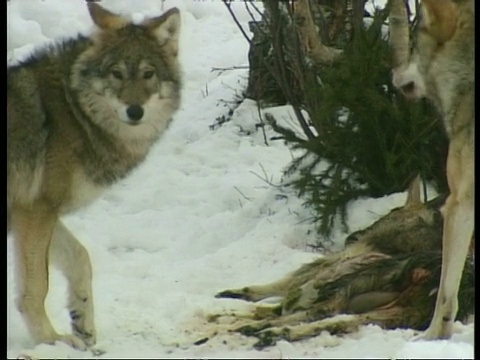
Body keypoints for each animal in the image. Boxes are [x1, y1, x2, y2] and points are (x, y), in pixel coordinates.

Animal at [7, 2, 184, 350]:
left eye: (148, 74)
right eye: (116, 74)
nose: (134, 111)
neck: (74, 111)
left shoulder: (34, 214)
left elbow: (81, 259)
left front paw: (82, 322)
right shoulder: (36, 212)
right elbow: (36, 287)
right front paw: (51, 340)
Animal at [202, 180, 472, 348]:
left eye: (393, 211)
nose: (352, 236)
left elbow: (282, 290)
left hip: (367, 284)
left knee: (322, 310)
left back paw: (263, 329)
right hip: (402, 311)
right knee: (337, 320)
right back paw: (267, 330)